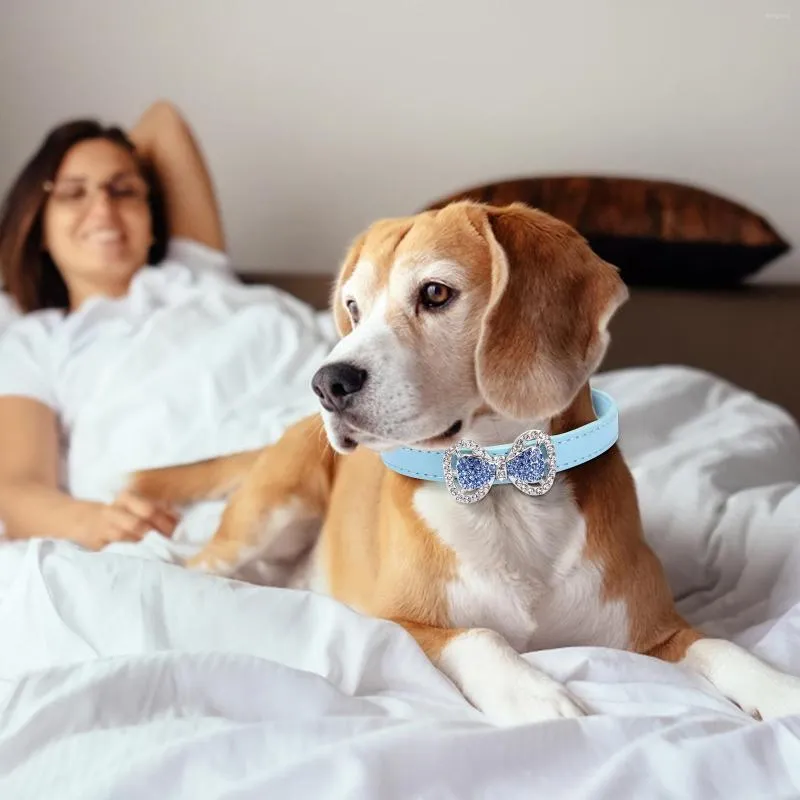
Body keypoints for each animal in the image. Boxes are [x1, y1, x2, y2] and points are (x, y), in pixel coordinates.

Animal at [130, 200, 800, 724]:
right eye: (353, 308)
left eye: (435, 293)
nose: (326, 383)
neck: (502, 482)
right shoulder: (394, 623)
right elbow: (479, 636)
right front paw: (534, 694)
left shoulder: (659, 631)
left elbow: (722, 646)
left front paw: (776, 687)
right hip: (269, 514)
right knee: (196, 564)